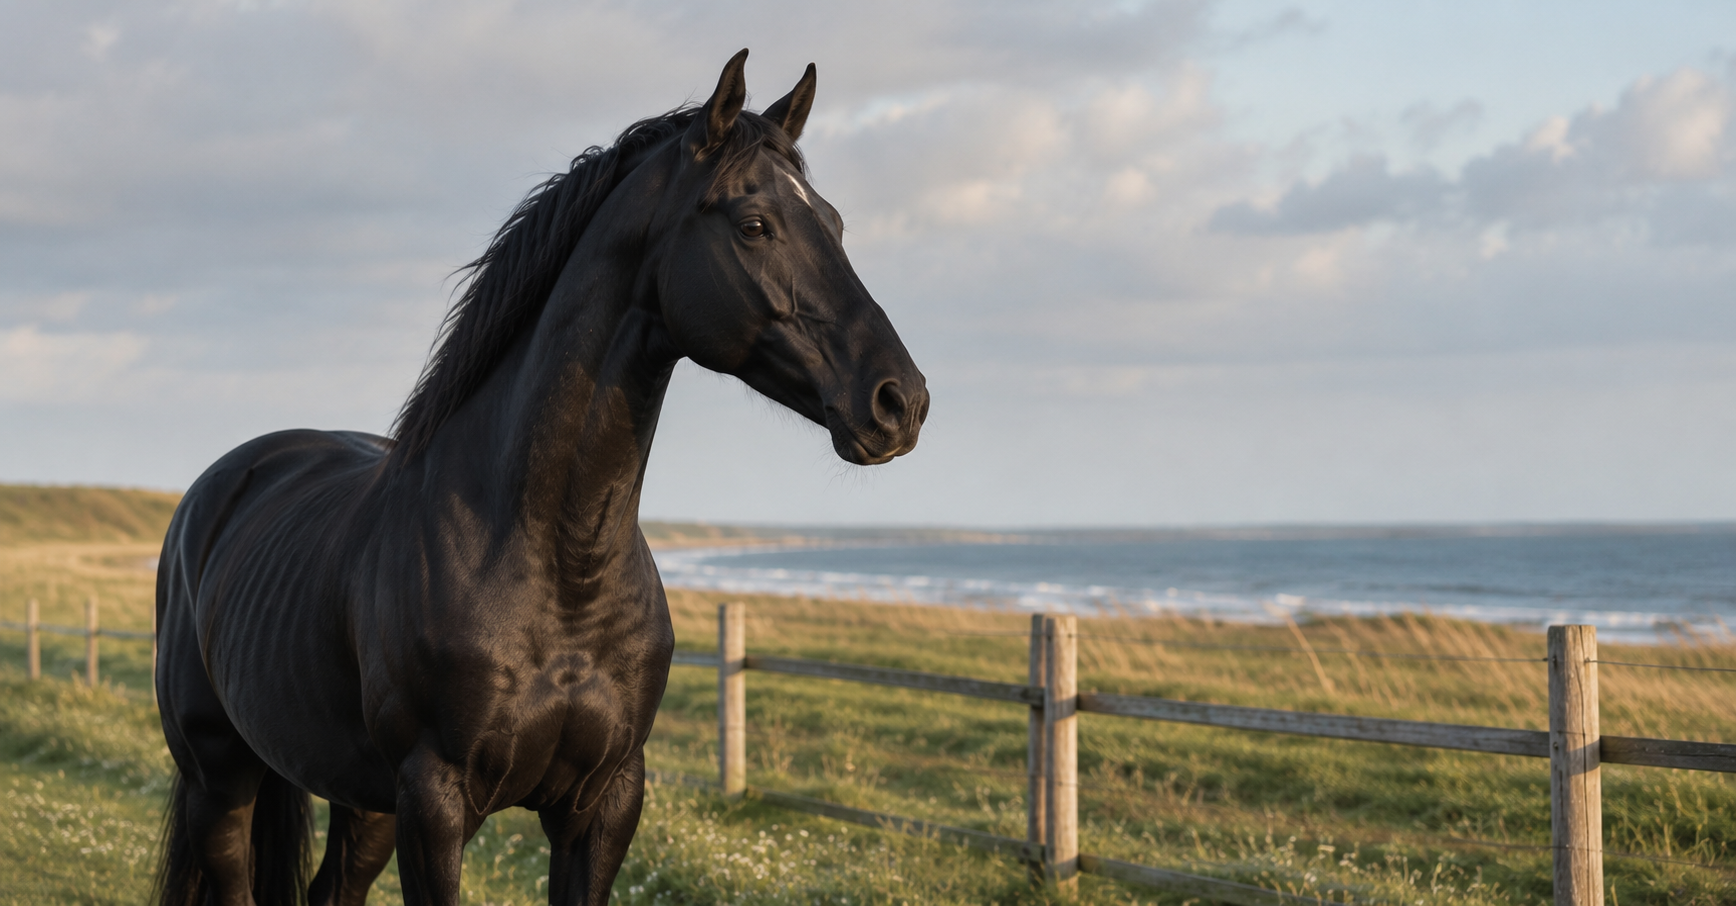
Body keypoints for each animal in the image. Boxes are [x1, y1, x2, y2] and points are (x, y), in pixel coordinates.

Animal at [153, 49, 928, 906]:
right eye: (754, 225)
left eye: (836, 223)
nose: (899, 401)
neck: (556, 564)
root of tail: (227, 483)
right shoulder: (435, 804)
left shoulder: (604, 803)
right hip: (221, 778)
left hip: (361, 803)